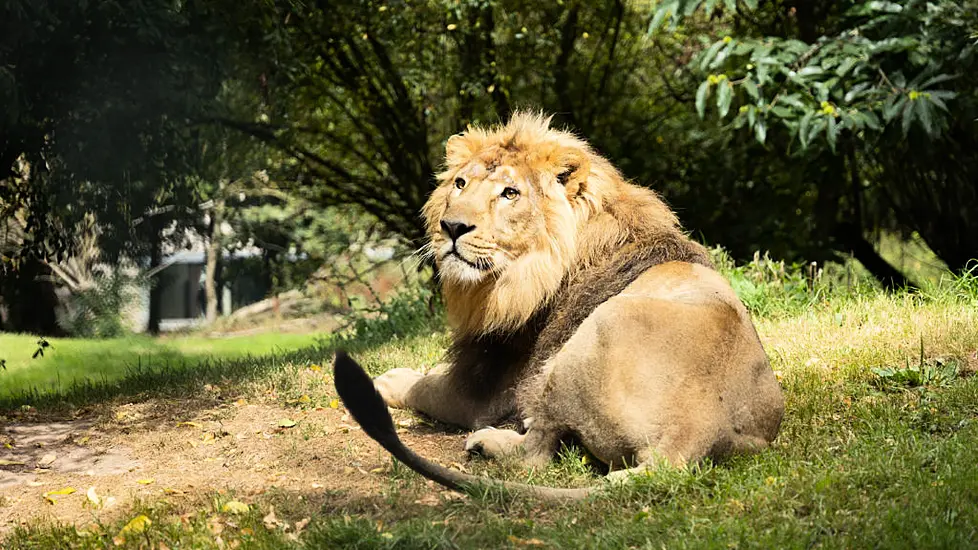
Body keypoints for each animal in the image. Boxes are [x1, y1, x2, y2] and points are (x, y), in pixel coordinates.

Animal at [332, 112, 780, 500]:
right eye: (459, 183)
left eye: (510, 193)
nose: (452, 227)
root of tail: (685, 440)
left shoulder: (486, 390)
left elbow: (427, 387)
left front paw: (389, 380)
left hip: (583, 343)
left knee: (536, 451)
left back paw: (488, 443)